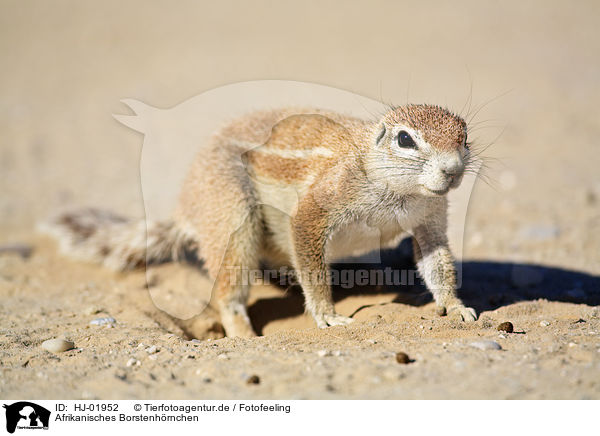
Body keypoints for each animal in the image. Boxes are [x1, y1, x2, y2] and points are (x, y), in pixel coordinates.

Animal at [43, 104, 478, 338]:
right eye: (405, 139)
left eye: (464, 137)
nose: (454, 171)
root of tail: (189, 208)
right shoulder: (321, 203)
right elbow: (307, 242)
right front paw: (327, 314)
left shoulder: (430, 219)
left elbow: (436, 260)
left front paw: (455, 306)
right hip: (231, 211)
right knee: (227, 291)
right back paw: (243, 333)